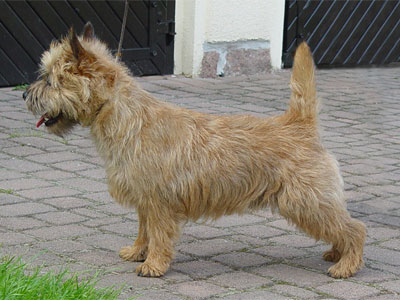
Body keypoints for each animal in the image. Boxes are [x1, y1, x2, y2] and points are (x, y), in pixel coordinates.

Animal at [22, 23, 366, 278]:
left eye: (50, 80)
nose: (25, 94)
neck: (126, 117)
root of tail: (299, 123)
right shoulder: (144, 199)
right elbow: (144, 230)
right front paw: (137, 252)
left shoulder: (158, 201)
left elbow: (159, 234)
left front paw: (154, 265)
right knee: (342, 227)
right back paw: (336, 253)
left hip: (305, 201)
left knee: (354, 228)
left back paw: (346, 265)